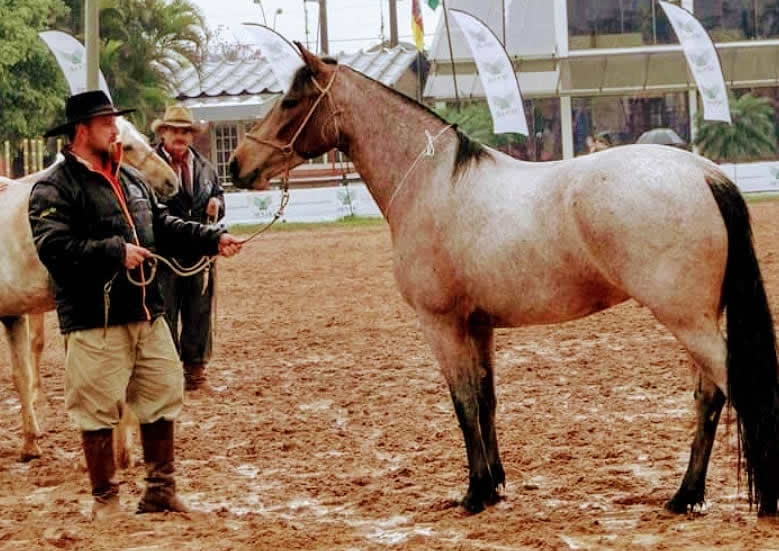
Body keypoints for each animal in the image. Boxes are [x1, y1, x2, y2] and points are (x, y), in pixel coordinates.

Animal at [230, 46, 779, 516]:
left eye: (291, 101)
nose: (238, 166)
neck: (434, 183)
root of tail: (704, 173)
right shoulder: (479, 325)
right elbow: (487, 400)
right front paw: (495, 484)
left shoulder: (442, 324)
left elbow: (463, 401)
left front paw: (474, 493)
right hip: (696, 320)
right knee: (709, 398)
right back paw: (685, 496)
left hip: (686, 320)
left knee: (734, 388)